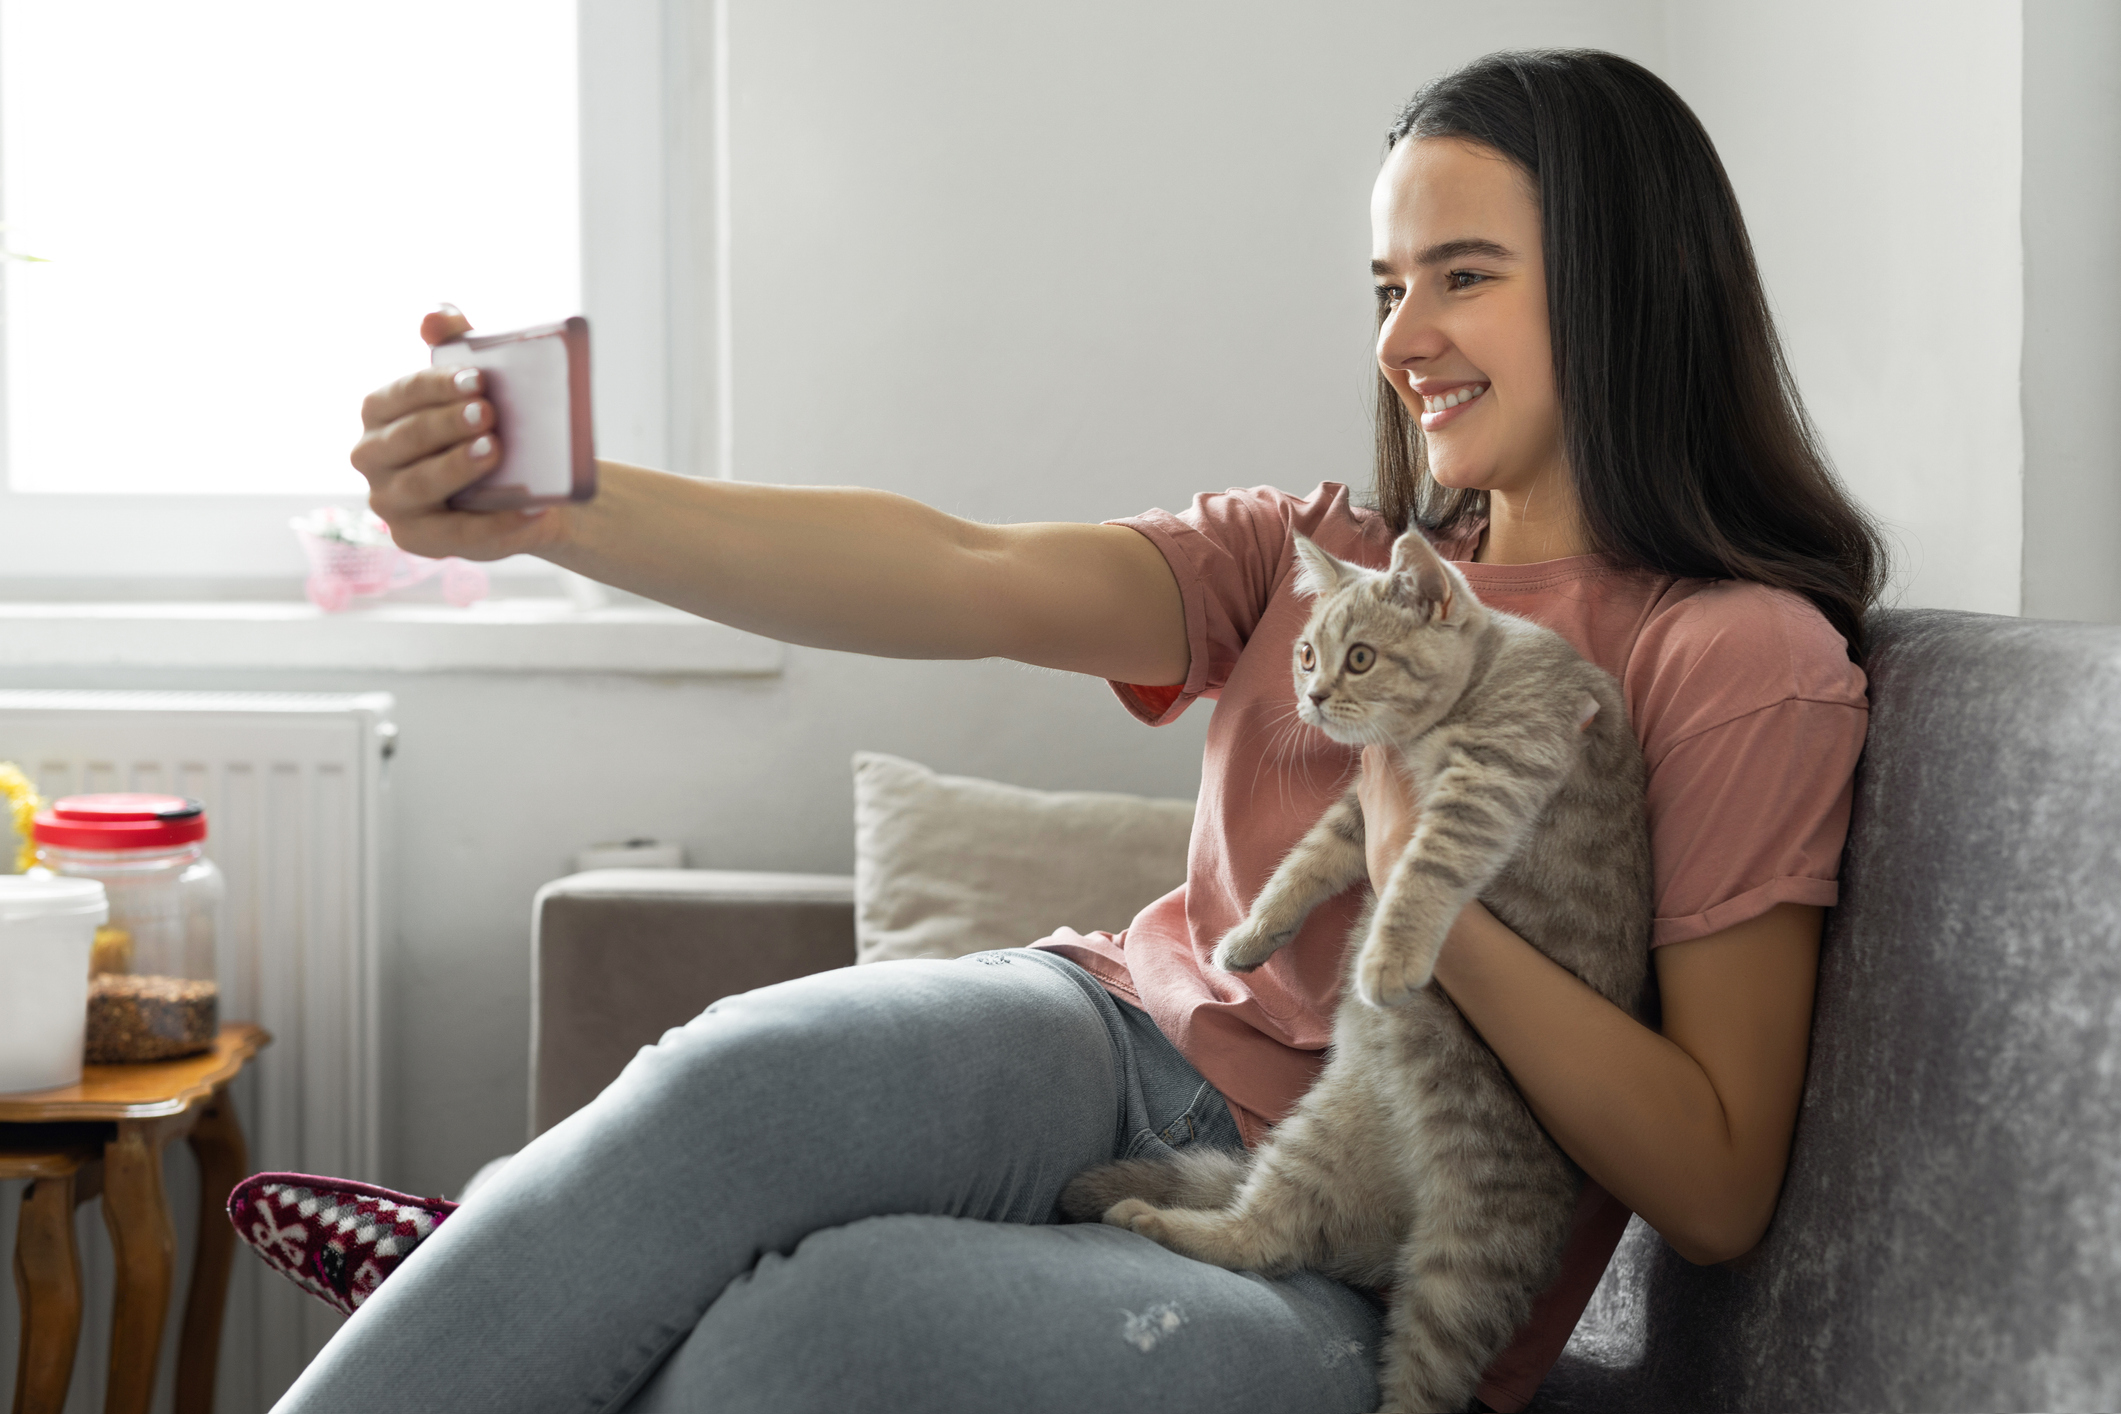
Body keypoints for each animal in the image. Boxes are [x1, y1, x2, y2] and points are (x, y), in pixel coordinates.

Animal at [1068, 527, 1645, 1414]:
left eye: (1362, 657)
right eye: (1306, 653)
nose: (1311, 695)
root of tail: (1395, 1223)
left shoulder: (1494, 774)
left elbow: (1422, 870)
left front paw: (1388, 956)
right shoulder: (1356, 811)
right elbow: (1305, 863)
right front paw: (1249, 937)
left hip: (1470, 1259)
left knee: (1419, 1376)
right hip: (1315, 1139)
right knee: (1260, 1240)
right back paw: (1157, 1220)